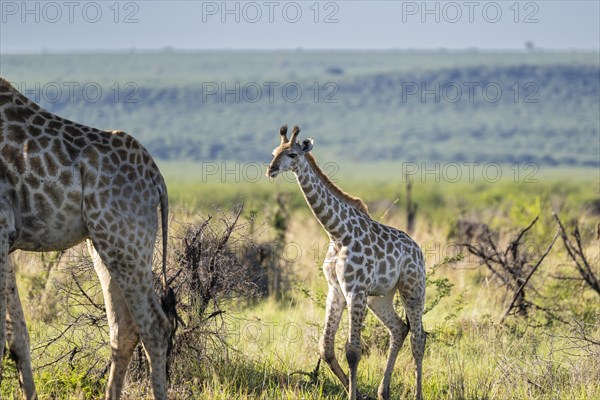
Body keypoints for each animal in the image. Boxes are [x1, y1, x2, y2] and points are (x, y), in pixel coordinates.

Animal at [1, 76, 176, 400]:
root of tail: (157, 179)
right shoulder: (6, 240)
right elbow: (17, 335)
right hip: (103, 243)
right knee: (124, 327)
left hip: (124, 243)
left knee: (155, 326)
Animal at [266, 126, 426, 400]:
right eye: (275, 152)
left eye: (292, 154)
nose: (271, 169)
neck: (337, 233)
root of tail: (418, 250)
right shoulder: (336, 290)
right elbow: (326, 347)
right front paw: (358, 393)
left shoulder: (355, 290)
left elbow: (353, 351)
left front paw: (354, 394)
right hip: (380, 297)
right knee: (398, 329)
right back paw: (383, 392)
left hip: (412, 290)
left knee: (419, 339)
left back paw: (417, 395)